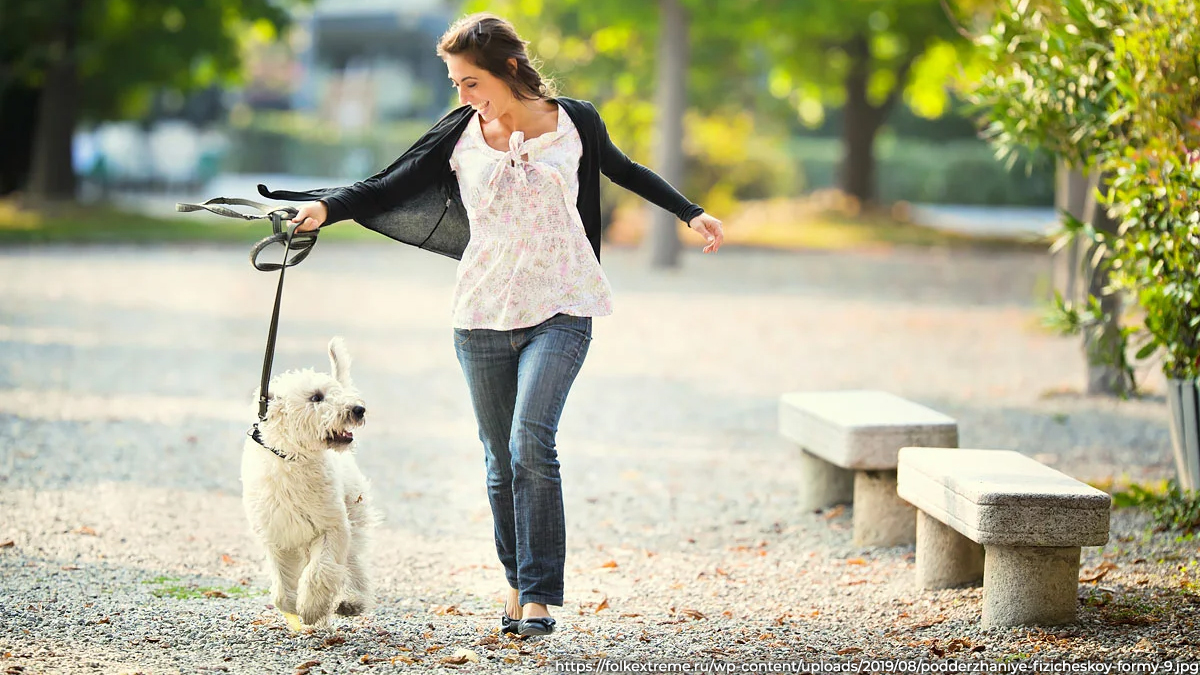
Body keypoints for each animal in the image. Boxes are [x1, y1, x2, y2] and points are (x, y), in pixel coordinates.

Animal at [240, 333, 379, 624]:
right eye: (316, 397)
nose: (358, 409)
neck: (293, 460)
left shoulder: (332, 527)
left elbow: (320, 570)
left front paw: (312, 607)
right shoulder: (276, 535)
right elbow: (282, 585)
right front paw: (291, 605)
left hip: (354, 518)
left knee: (353, 565)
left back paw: (352, 601)